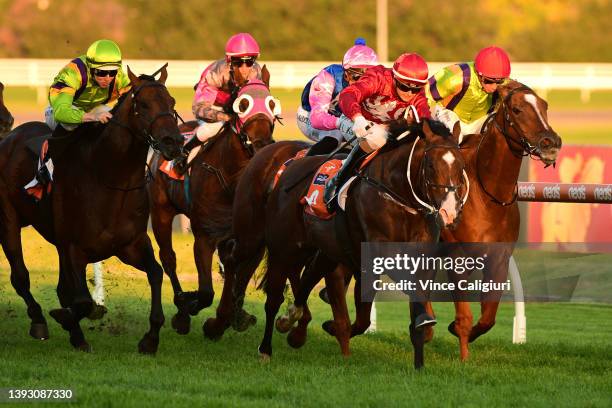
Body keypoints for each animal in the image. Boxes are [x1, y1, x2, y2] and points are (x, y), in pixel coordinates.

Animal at [0, 67, 183, 354]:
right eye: (143, 104)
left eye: (172, 102)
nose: (173, 142)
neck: (110, 178)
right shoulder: (75, 248)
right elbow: (82, 301)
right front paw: (67, 318)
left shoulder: (130, 244)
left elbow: (155, 273)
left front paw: (150, 337)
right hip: (8, 220)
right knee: (21, 277)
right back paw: (40, 321)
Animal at [146, 67, 278, 334]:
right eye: (243, 105)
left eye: (272, 104)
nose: (262, 145)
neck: (232, 180)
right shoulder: (205, 235)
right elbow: (206, 292)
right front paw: (192, 304)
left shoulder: (252, 241)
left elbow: (237, 278)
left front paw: (231, 317)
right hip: (161, 211)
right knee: (168, 259)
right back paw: (182, 309)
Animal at [438, 79, 560, 360]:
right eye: (516, 109)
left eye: (545, 105)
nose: (551, 142)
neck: (487, 194)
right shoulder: (456, 255)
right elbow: (464, 314)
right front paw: (464, 357)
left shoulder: (499, 257)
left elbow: (488, 316)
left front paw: (461, 331)